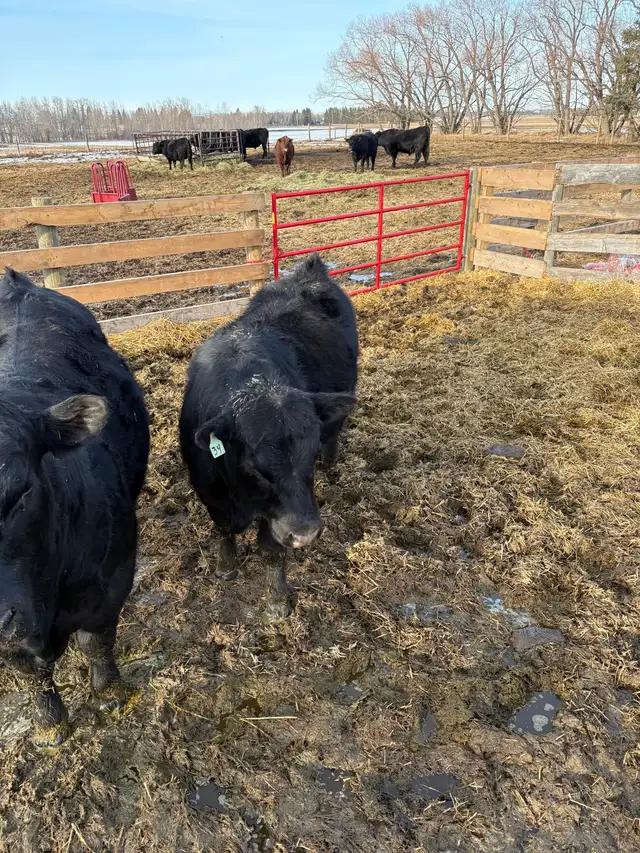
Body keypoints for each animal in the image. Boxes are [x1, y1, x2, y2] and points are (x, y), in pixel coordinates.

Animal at [0, 268, 149, 747]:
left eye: (22, 492)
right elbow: (28, 671)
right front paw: (49, 723)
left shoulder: (113, 577)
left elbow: (96, 640)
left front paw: (111, 690)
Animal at [179, 254, 358, 620]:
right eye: (256, 466)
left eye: (309, 455)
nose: (305, 533)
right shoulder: (210, 491)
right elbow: (225, 529)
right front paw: (225, 568)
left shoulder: (280, 516)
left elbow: (271, 549)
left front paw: (277, 600)